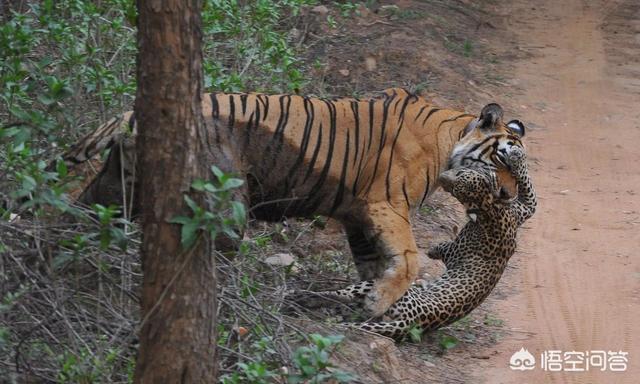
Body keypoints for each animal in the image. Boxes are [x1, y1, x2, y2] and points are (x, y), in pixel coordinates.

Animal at [58, 88, 524, 316]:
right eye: (502, 160)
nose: (507, 196)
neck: (449, 138)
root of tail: (130, 115)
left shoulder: (357, 216)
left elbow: (373, 265)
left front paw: (365, 304)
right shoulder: (386, 205)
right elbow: (408, 261)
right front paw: (377, 304)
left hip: (115, 188)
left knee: (77, 217)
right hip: (225, 203)